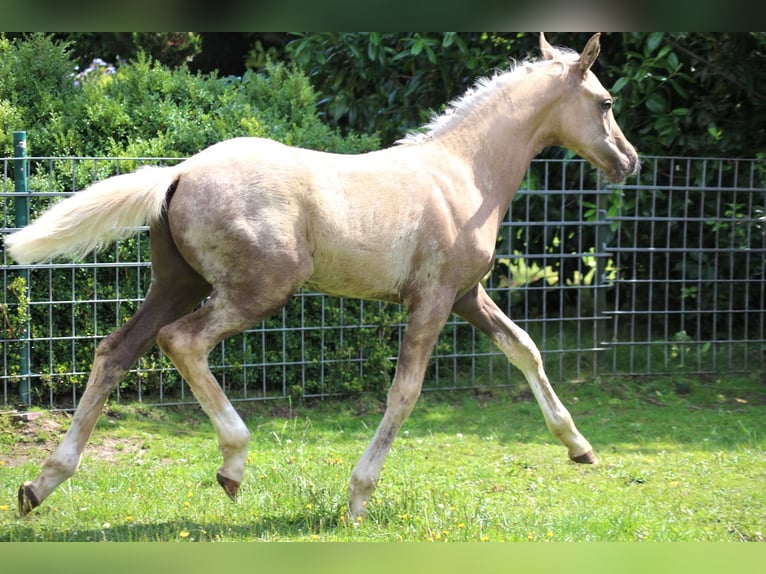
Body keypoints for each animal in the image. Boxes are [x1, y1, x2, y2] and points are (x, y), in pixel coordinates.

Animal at [6, 33, 637, 518]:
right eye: (605, 102)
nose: (629, 161)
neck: (463, 171)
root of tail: (179, 171)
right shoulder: (432, 299)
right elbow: (405, 392)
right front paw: (359, 496)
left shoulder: (466, 294)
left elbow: (524, 347)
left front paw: (578, 446)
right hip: (259, 290)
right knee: (180, 340)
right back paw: (233, 464)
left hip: (177, 283)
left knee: (115, 350)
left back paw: (41, 483)